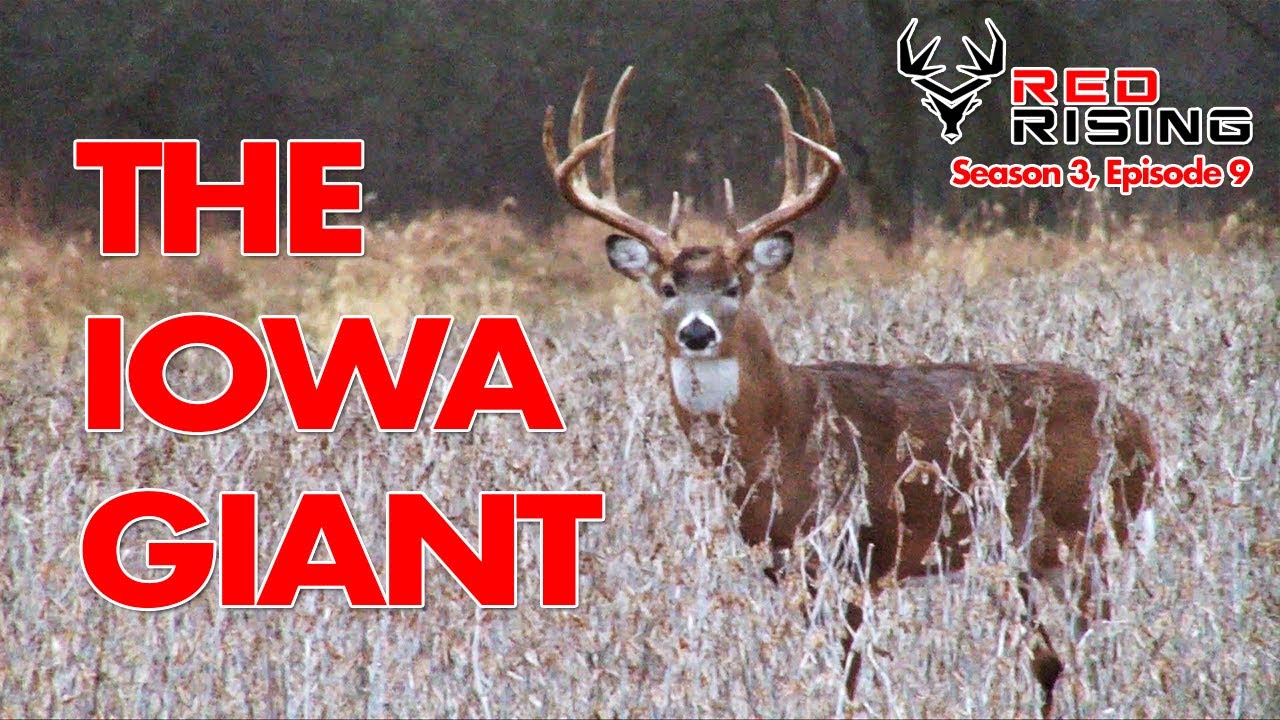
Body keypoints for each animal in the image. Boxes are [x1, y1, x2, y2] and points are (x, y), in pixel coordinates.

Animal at [543, 67, 1160, 717]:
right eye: (666, 288)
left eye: (734, 286)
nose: (696, 332)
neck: (782, 430)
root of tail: (1138, 428)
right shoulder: (786, 564)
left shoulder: (847, 549)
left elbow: (847, 675)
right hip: (1032, 557)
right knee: (1051, 657)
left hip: (1088, 532)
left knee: (1096, 646)